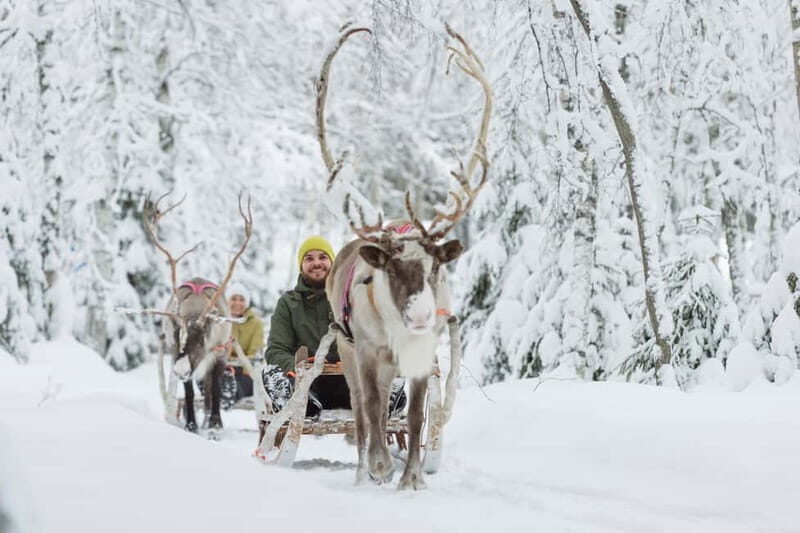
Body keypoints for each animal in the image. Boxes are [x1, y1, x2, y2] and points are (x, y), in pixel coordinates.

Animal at [135, 192, 253, 434]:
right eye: (176, 334)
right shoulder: (175, 354)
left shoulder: (221, 353)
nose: (179, 370)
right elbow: (189, 392)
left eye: (200, 340)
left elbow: (215, 389)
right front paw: (191, 424)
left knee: (209, 391)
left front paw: (215, 425)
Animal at [317, 24, 492, 489]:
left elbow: (413, 418)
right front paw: (380, 467)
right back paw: (365, 471)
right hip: (345, 349)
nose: (420, 316)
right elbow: (373, 411)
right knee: (363, 414)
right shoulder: (366, 351)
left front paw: (412, 477)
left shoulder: (422, 356)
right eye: (392, 270)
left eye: (436, 268)